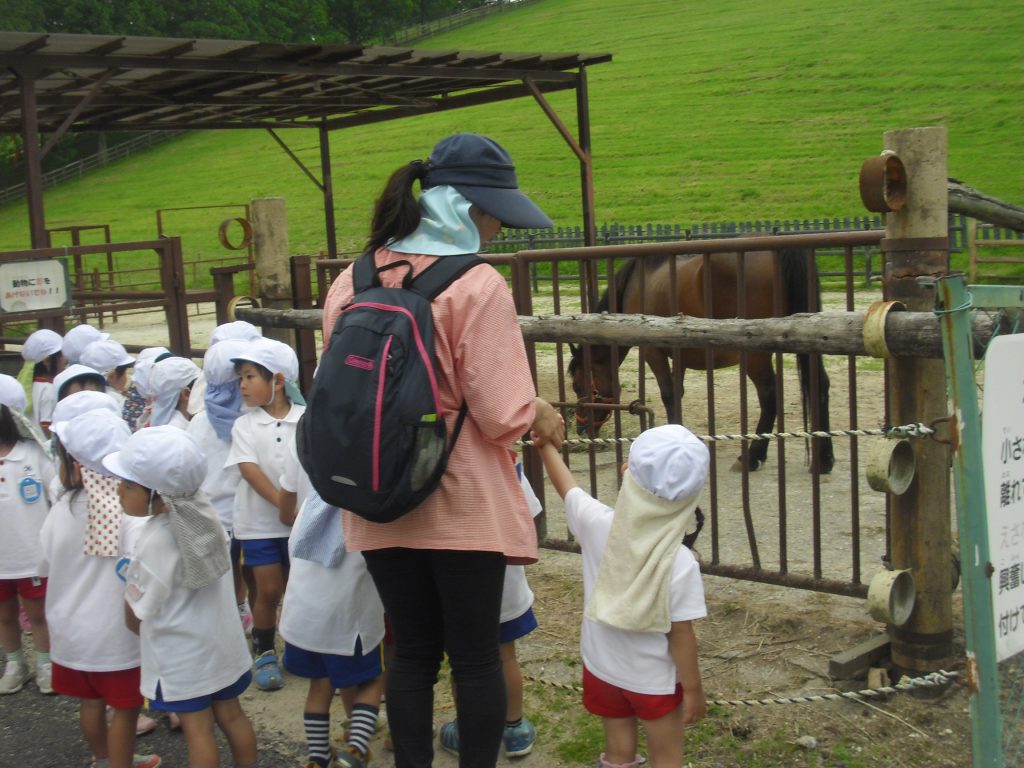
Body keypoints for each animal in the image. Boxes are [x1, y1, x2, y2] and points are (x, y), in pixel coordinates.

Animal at [569, 249, 831, 473]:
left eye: (577, 384)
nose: (581, 428)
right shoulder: (680, 354)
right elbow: (677, 393)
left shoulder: (652, 352)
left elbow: (668, 394)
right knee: (819, 386)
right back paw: (824, 460)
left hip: (755, 356)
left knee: (769, 396)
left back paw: (752, 457)